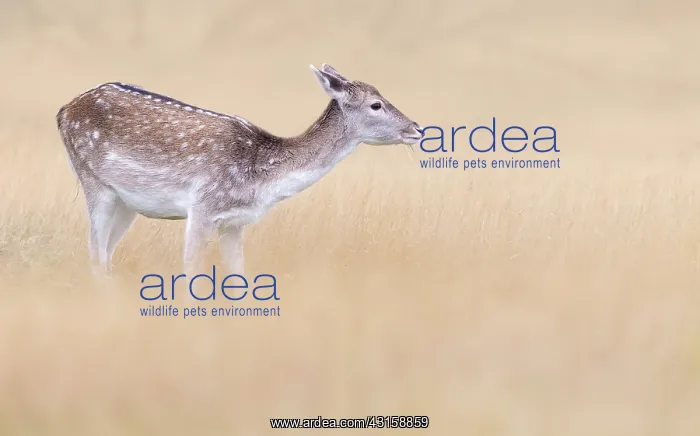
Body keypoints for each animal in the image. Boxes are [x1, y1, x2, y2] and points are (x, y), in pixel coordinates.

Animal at [56, 64, 423, 277]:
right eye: (376, 105)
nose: (416, 128)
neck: (261, 181)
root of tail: (63, 111)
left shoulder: (235, 222)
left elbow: (239, 275)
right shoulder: (203, 206)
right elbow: (191, 270)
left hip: (127, 202)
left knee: (106, 254)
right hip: (93, 180)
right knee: (95, 254)